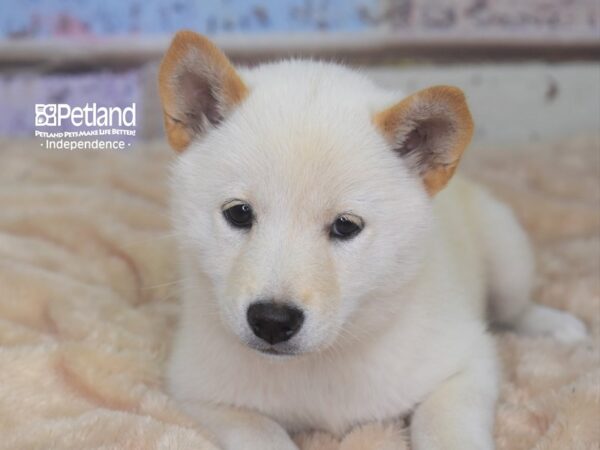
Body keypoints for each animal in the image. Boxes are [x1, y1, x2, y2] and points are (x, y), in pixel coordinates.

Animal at [157, 31, 588, 450]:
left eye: (346, 226)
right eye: (239, 214)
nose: (272, 321)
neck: (319, 365)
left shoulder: (467, 363)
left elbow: (445, 427)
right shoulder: (200, 394)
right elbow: (260, 433)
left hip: (507, 257)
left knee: (515, 308)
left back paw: (556, 325)